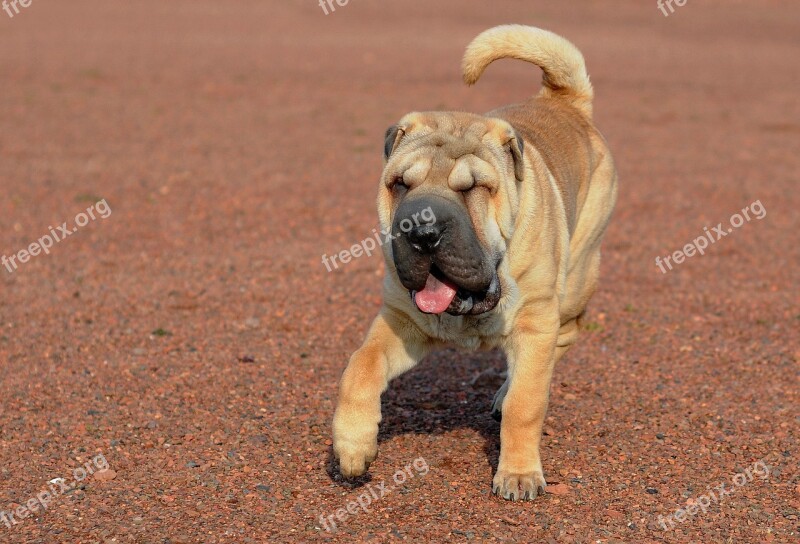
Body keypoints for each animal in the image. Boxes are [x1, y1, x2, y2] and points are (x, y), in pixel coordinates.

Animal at [332, 25, 620, 502]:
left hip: (575, 280)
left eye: (474, 189)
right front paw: (352, 444)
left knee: (559, 342)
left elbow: (527, 403)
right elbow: (361, 366)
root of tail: (562, 100)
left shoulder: (535, 321)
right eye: (399, 184)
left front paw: (519, 474)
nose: (421, 229)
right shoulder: (399, 320)